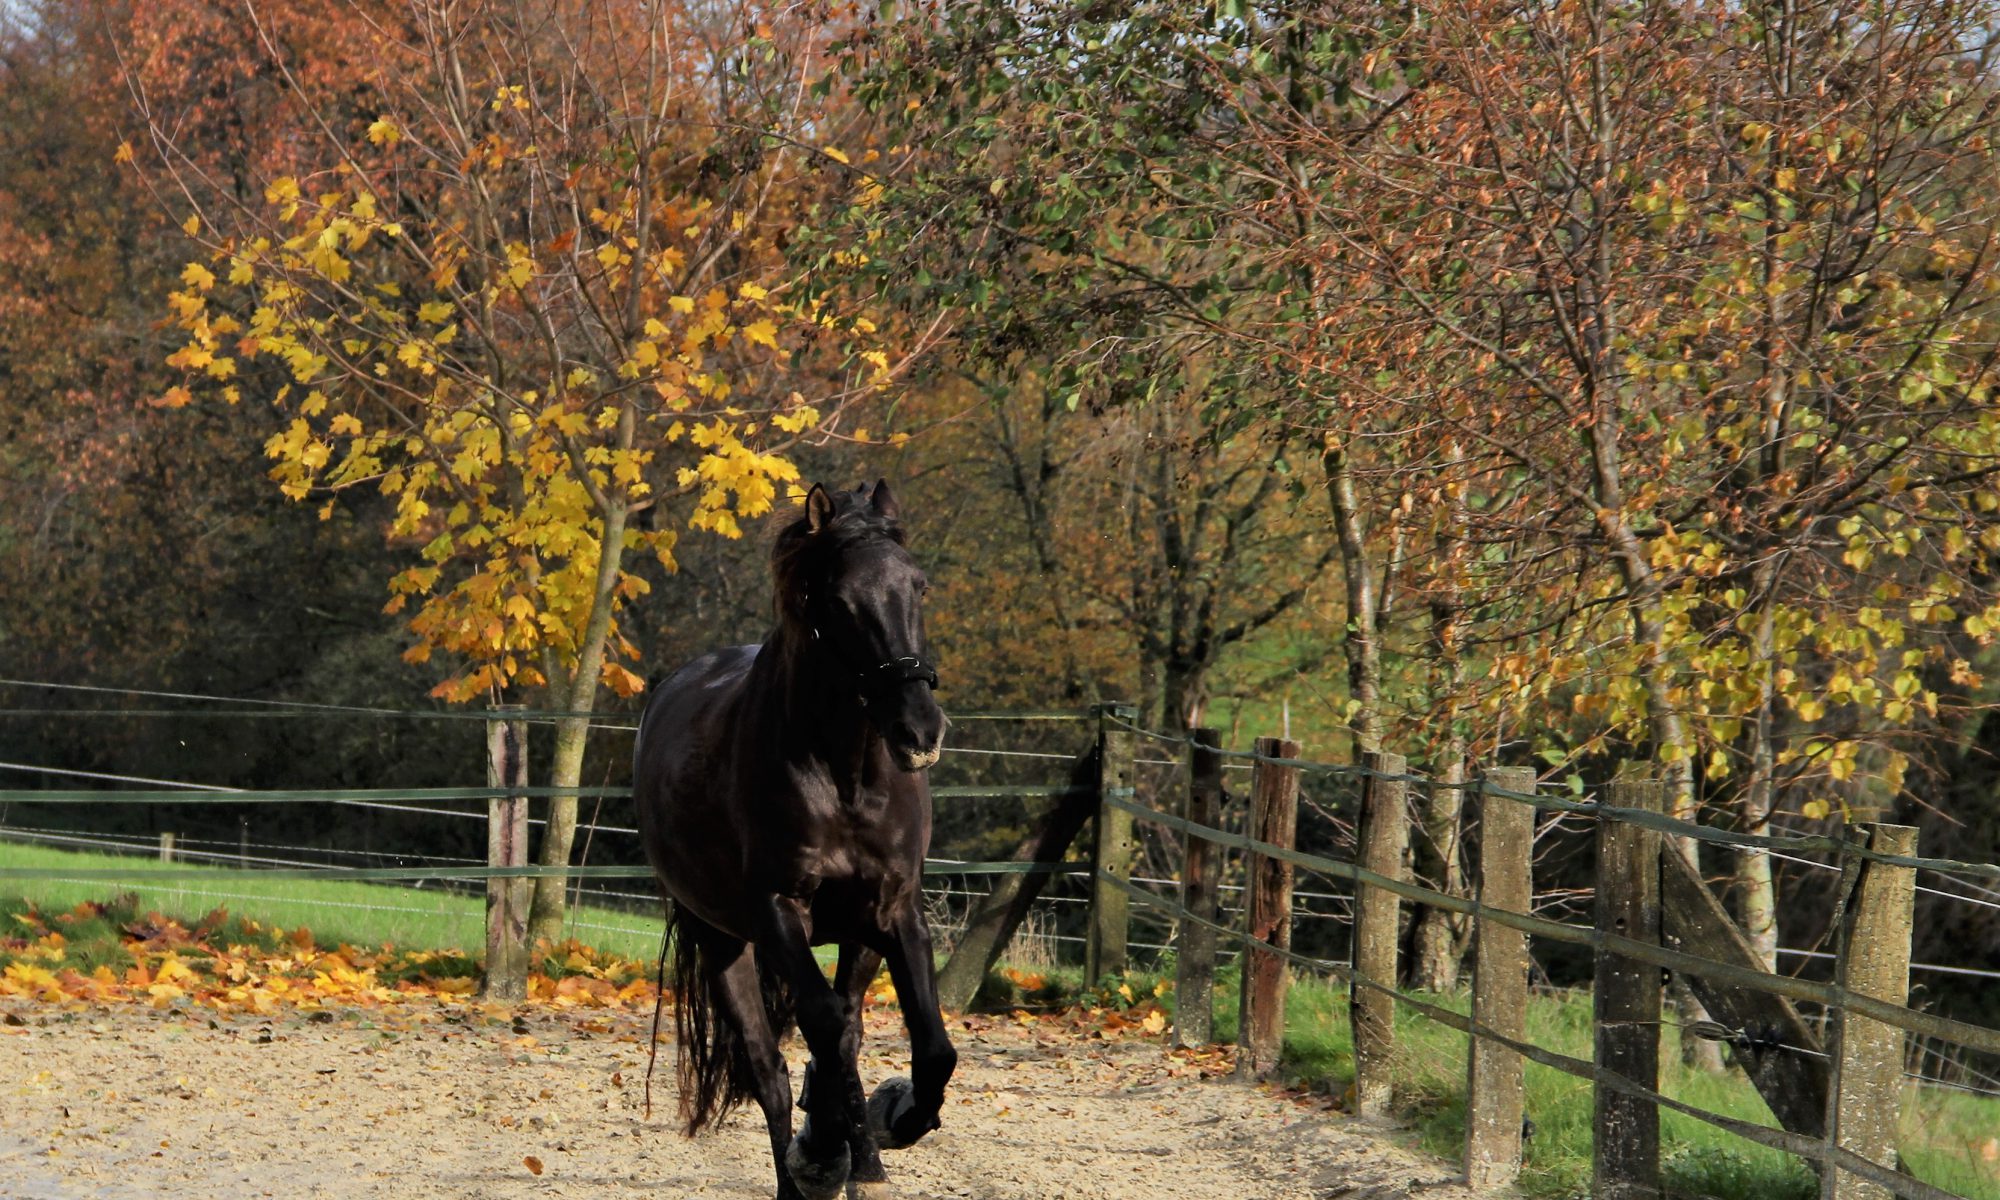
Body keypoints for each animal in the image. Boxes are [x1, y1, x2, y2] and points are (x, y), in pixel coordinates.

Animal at [636, 480, 956, 1200]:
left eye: (919, 585)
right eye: (838, 602)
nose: (919, 731)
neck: (844, 779)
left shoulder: (895, 913)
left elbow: (929, 1048)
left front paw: (896, 1120)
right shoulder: (780, 913)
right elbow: (820, 1030)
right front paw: (820, 1153)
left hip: (854, 939)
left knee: (847, 1033)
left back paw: (863, 1160)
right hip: (725, 943)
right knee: (772, 1069)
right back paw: (808, 1166)